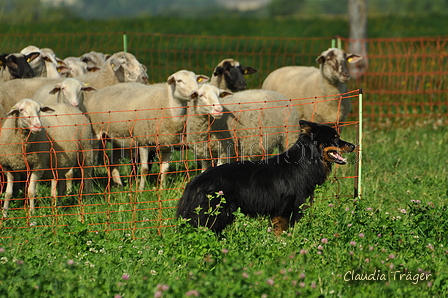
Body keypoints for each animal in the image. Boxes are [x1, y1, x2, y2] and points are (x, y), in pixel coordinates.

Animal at [177, 120, 356, 234]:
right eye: (334, 138)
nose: (354, 145)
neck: (305, 162)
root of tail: (195, 183)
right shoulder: (285, 211)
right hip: (214, 215)